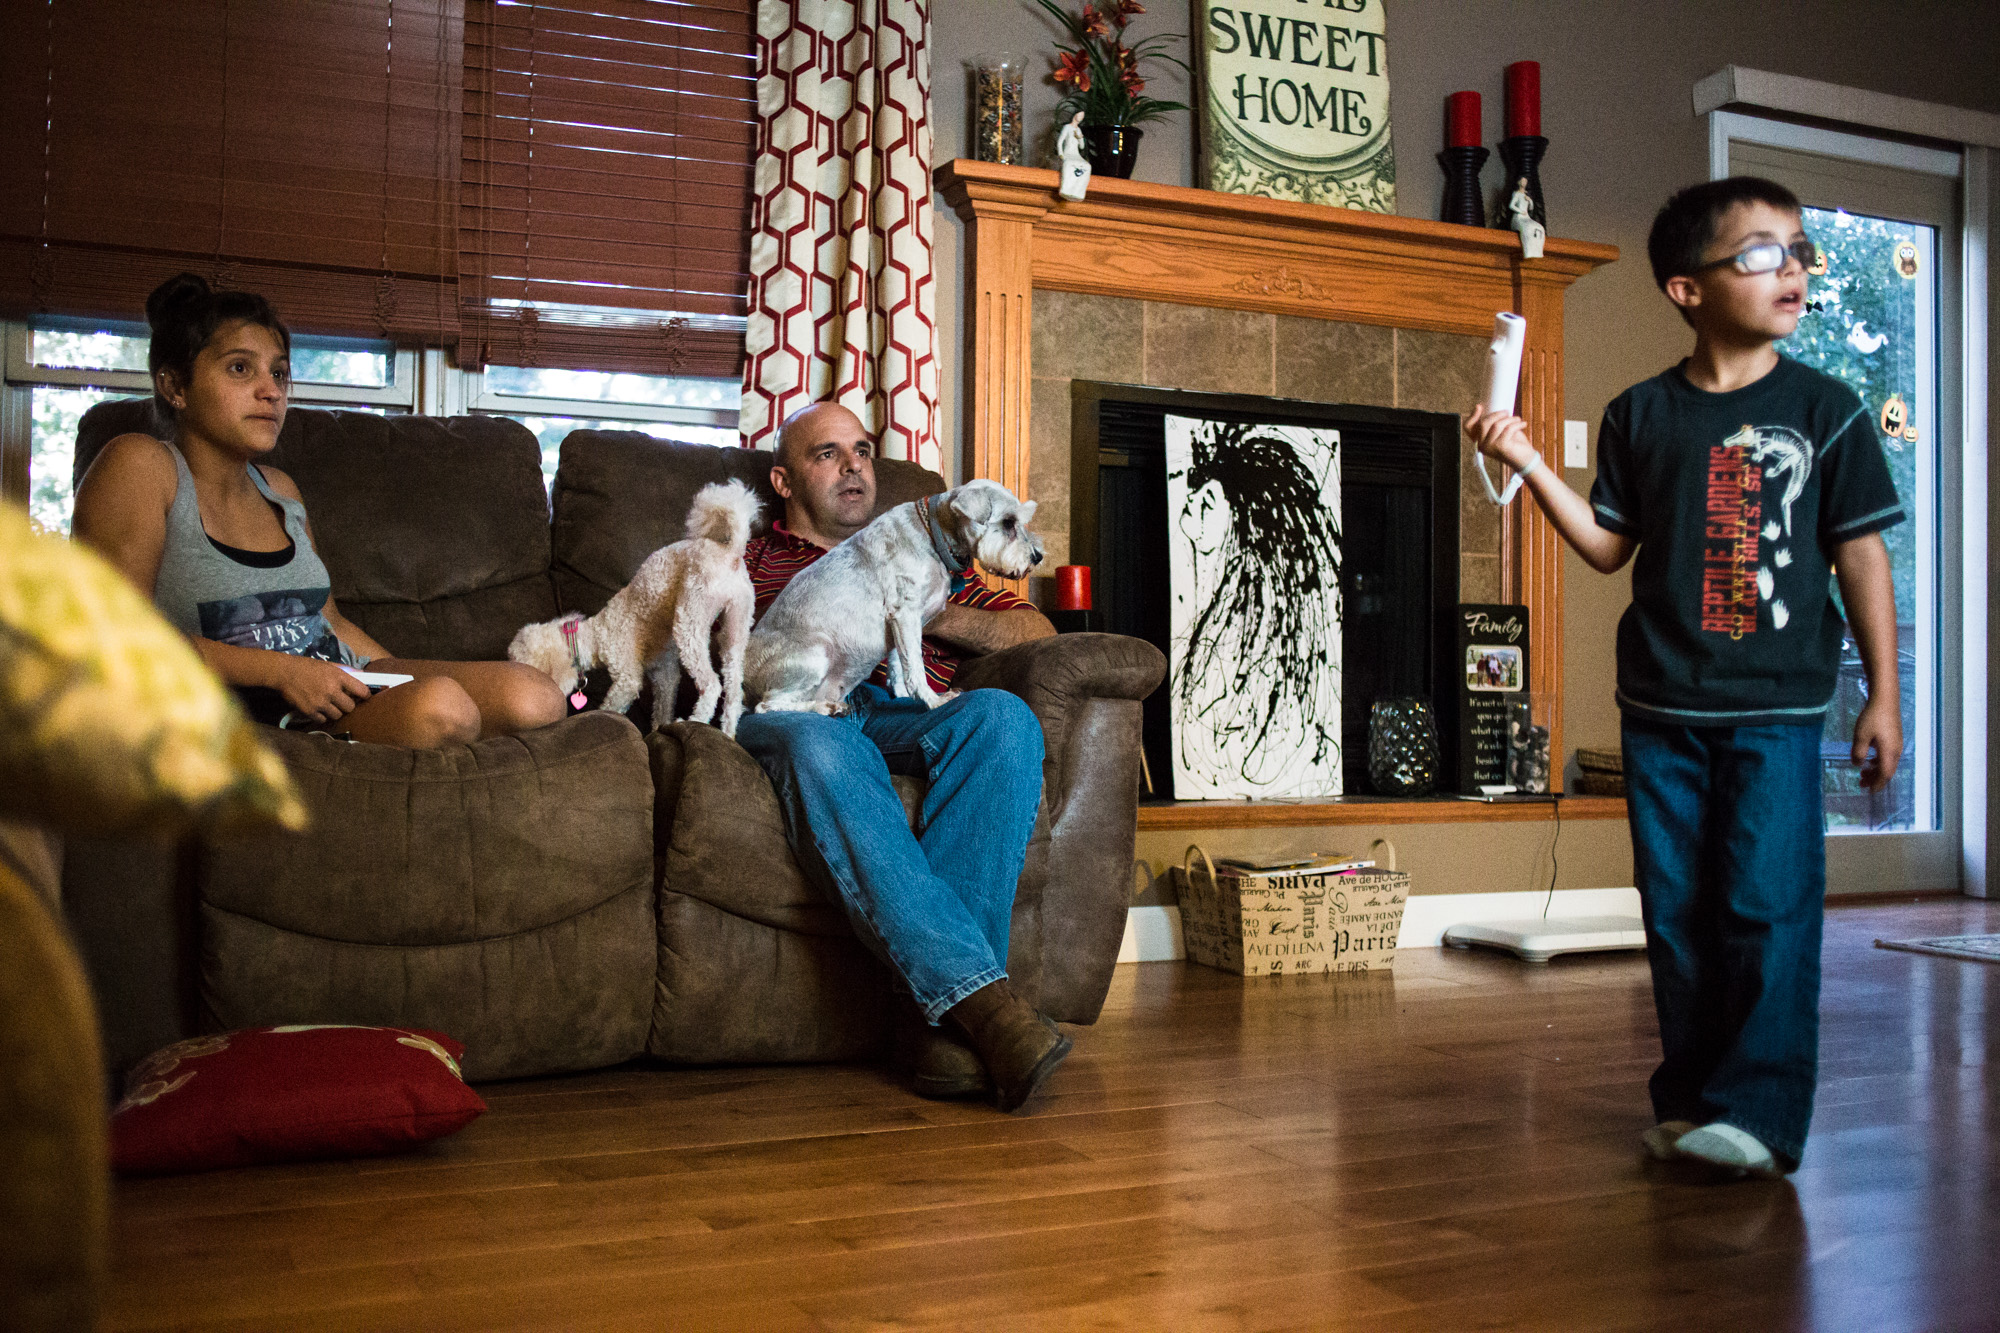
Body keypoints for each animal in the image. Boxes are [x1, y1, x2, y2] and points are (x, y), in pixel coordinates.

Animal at [512, 480, 760, 736]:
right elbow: (662, 706)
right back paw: (728, 733)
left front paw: (605, 715)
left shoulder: (627, 677)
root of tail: (731, 554)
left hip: (690, 620)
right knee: (734, 691)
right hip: (736, 629)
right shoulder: (664, 674)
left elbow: (612, 705)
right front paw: (658, 729)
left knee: (711, 684)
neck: (596, 632)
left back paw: (694, 720)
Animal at [744, 474, 1040, 712]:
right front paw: (934, 701)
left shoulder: (901, 627)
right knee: (766, 706)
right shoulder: (905, 613)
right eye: (1008, 522)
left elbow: (900, 665)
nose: (1037, 557)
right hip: (816, 653)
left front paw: (904, 697)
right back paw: (826, 708)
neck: (933, 533)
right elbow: (916, 667)